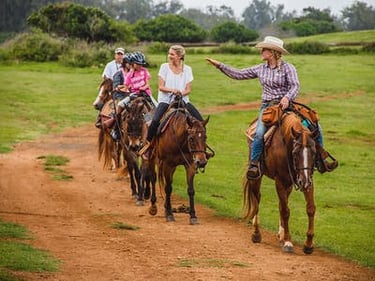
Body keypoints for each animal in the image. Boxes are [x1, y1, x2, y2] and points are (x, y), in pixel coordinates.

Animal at [244, 111, 318, 254]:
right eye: (296, 152)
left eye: (314, 152)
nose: (304, 182)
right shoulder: (280, 181)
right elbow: (285, 211)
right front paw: (288, 242)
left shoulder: (308, 181)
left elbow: (310, 208)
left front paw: (308, 244)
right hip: (256, 176)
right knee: (257, 199)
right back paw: (256, 233)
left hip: (289, 184)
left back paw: (281, 234)